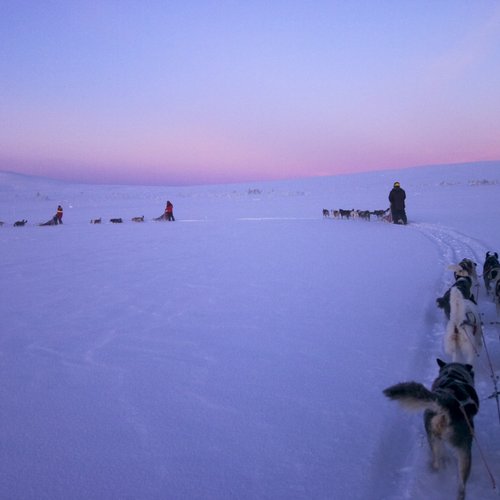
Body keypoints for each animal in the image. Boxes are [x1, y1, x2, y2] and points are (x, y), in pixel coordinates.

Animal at [384, 360, 478, 500]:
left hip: (433, 436)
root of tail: (448, 405)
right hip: (465, 452)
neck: (454, 373)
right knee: (461, 487)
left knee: (436, 462)